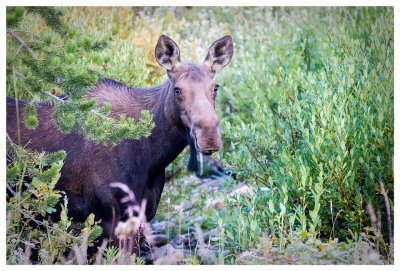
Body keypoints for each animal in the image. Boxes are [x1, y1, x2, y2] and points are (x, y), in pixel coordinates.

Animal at [6, 34, 233, 249]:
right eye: (178, 89)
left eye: (215, 87)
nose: (209, 136)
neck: (152, 158)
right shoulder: (108, 215)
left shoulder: (143, 215)